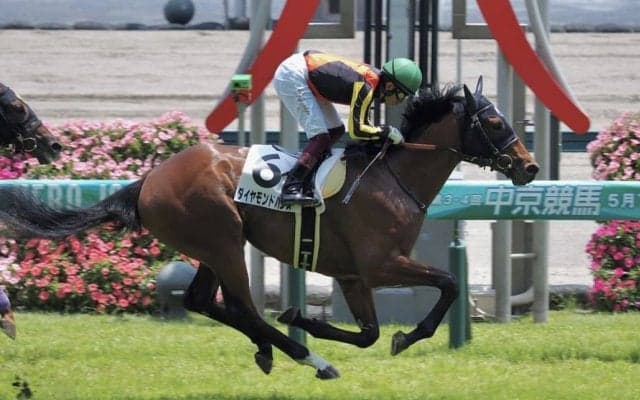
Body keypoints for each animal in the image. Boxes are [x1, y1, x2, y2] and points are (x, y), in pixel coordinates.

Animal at [0, 77, 538, 378]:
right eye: (494, 123)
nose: (529, 167)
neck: (392, 175)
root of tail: (149, 179)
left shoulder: (353, 275)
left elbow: (368, 332)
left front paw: (317, 320)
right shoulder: (381, 264)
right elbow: (447, 283)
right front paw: (404, 336)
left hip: (213, 246)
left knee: (203, 301)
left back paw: (272, 349)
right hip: (223, 239)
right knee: (244, 307)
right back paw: (310, 359)